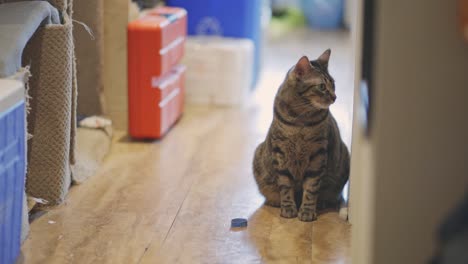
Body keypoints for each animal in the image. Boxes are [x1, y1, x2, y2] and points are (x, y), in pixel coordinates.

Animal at [254, 49, 350, 221]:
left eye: (333, 84)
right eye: (322, 86)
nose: (334, 97)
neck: (300, 118)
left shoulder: (318, 153)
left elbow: (311, 187)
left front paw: (307, 211)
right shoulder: (280, 151)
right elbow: (285, 185)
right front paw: (288, 208)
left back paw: (322, 203)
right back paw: (274, 201)